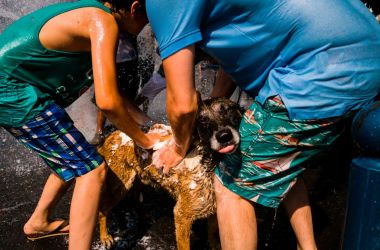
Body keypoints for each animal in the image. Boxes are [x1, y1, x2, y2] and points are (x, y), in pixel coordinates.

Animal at [96, 97, 242, 250]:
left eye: (227, 110)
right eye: (202, 120)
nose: (224, 136)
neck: (210, 163)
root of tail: (113, 134)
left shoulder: (215, 209)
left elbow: (212, 232)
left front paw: (214, 244)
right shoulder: (182, 215)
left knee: (136, 198)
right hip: (120, 185)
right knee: (103, 209)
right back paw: (105, 236)